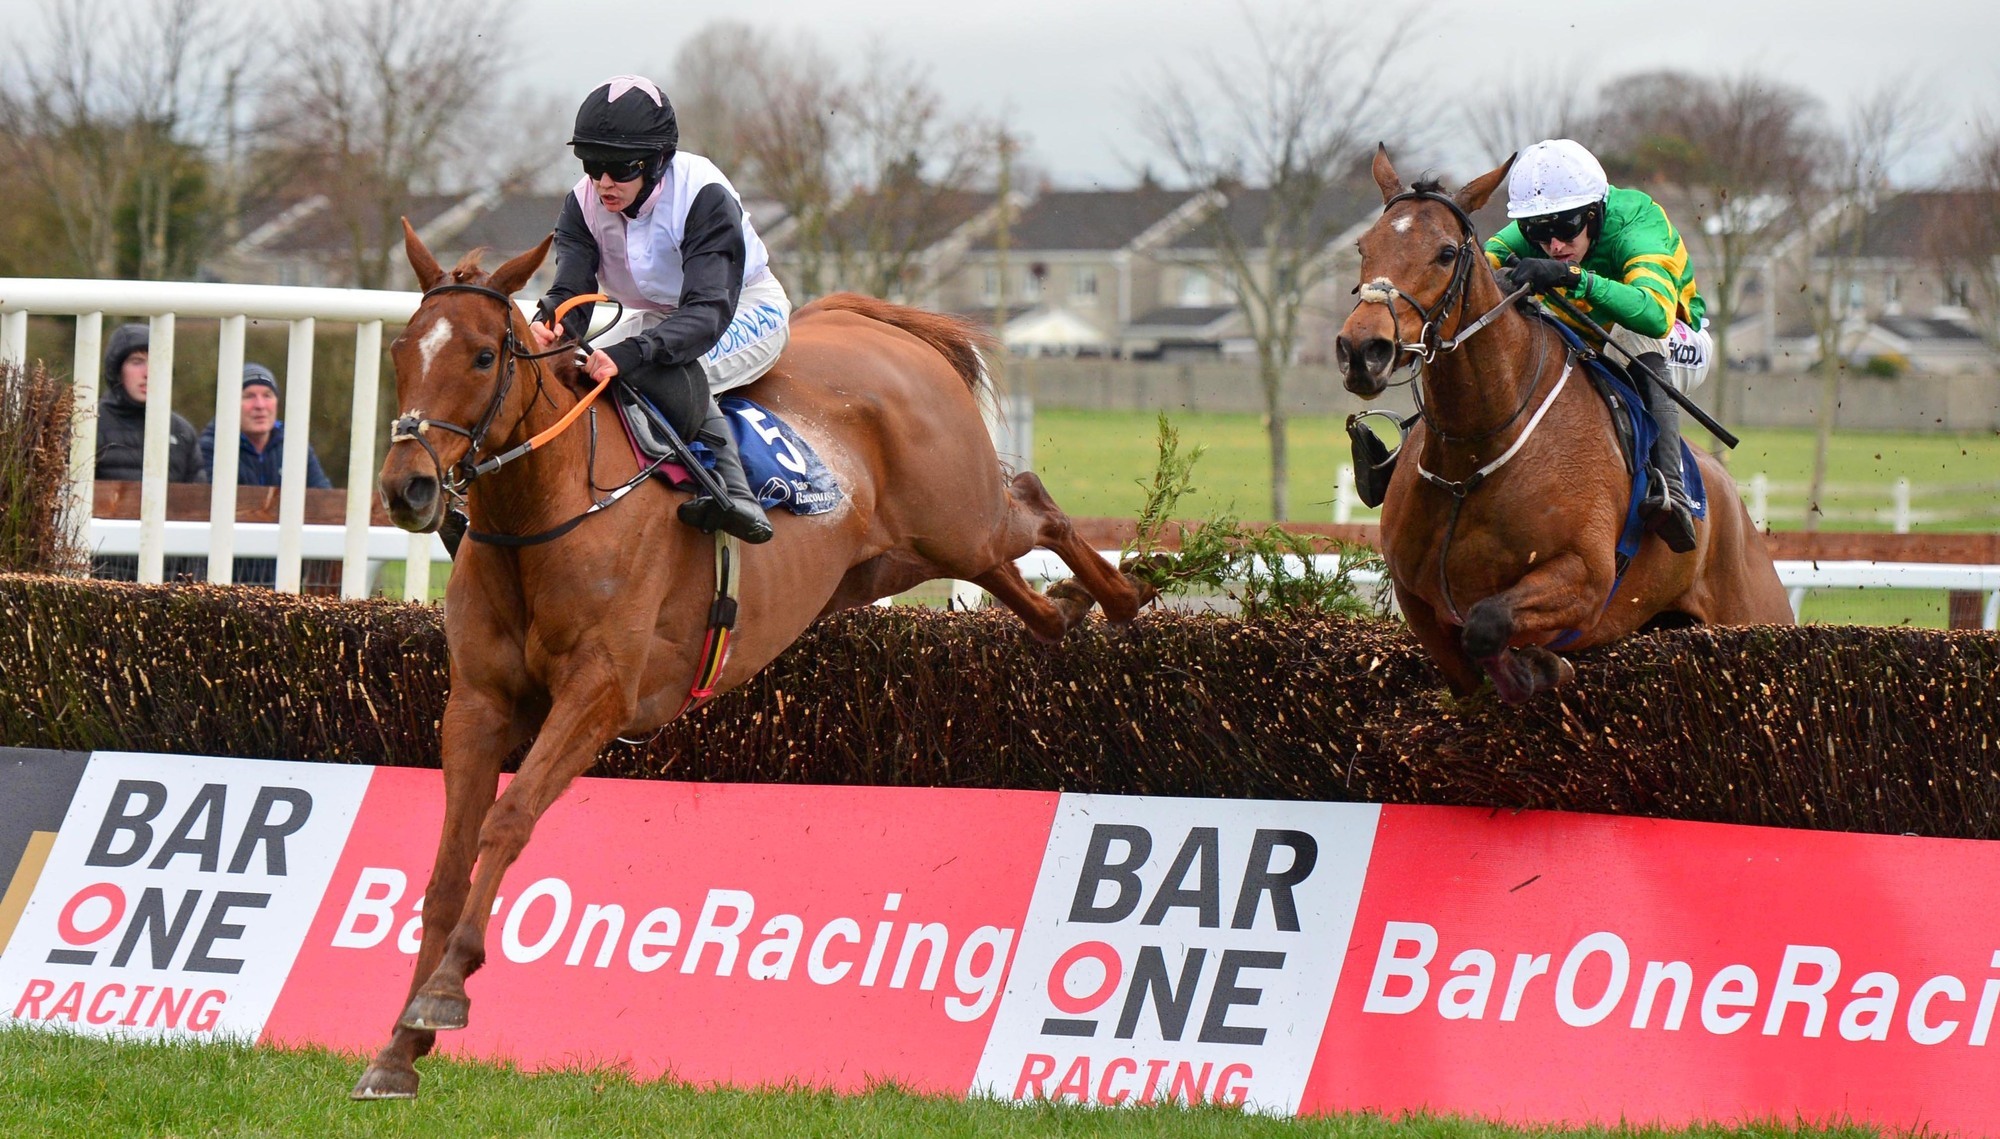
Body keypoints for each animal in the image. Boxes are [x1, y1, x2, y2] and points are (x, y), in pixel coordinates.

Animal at [351, 223, 1151, 1099]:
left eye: (483, 356)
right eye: (401, 349)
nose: (408, 486)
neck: (550, 509)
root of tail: (872, 323)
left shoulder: (600, 693)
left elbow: (509, 818)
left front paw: (445, 988)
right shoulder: (478, 702)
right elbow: (447, 865)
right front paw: (397, 1047)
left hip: (957, 521)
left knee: (1034, 504)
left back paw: (1128, 595)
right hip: (890, 559)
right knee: (1020, 580)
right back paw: (1069, 606)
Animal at [1334, 147, 1791, 704]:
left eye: (1444, 253)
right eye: (1364, 245)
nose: (1363, 350)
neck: (1474, 452)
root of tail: (1734, 501)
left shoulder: (1585, 579)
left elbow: (1487, 625)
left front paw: (1540, 668)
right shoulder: (1417, 600)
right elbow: (1469, 660)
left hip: (1751, 611)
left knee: (1645, 336)